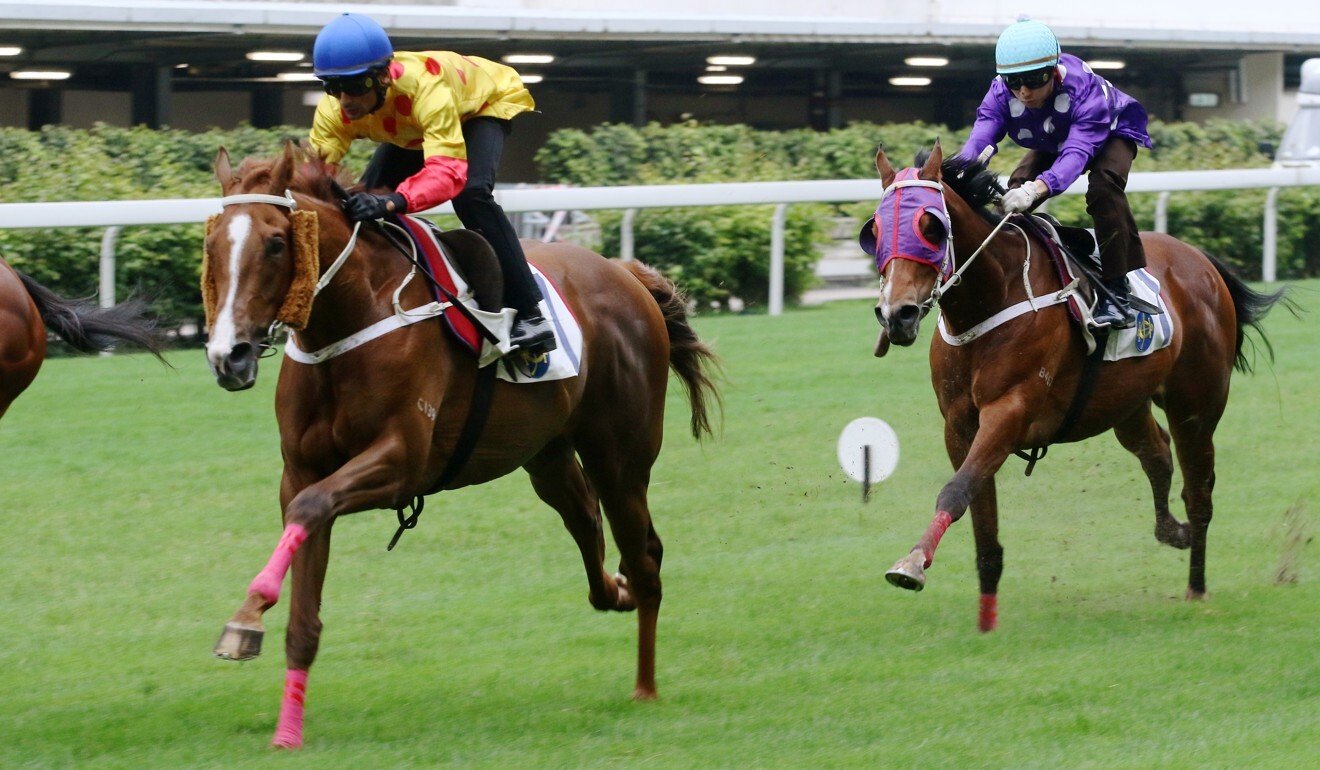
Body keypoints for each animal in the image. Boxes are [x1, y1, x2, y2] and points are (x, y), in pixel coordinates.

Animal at [203, 143, 723, 744]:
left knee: (644, 556)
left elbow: (312, 508)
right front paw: (286, 730)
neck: (353, 318)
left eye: (275, 242)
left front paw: (247, 615)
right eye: (211, 243)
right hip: (547, 455)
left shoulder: (401, 462)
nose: (229, 356)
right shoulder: (302, 472)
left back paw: (645, 685)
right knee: (586, 522)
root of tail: (625, 273)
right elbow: (303, 590)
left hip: (620, 455)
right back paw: (615, 593)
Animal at [865, 143, 1288, 633]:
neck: (993, 295)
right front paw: (986, 619)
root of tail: (1201, 260)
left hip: (1196, 405)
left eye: (930, 226)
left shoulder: (1010, 412)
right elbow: (979, 514)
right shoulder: (958, 425)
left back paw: (1196, 587)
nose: (897, 314)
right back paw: (1172, 530)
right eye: (874, 230)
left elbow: (956, 489)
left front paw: (911, 564)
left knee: (1198, 489)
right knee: (1157, 454)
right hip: (1126, 403)